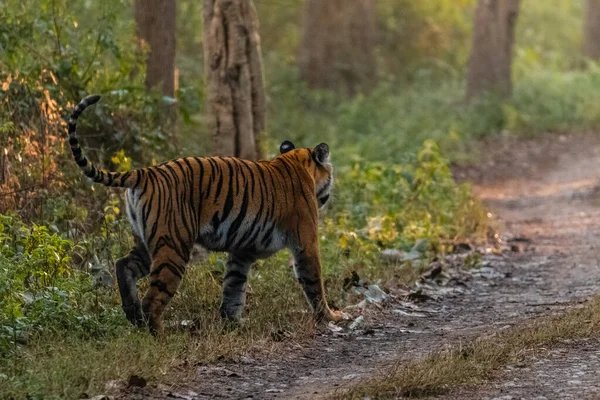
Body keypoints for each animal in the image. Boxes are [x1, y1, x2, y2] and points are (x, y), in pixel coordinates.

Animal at [66, 95, 346, 332]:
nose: (330, 193)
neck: (298, 162)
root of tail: (146, 172)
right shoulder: (305, 242)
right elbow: (314, 281)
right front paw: (330, 316)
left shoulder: (242, 251)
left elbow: (234, 286)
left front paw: (233, 323)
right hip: (174, 246)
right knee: (153, 297)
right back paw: (157, 333)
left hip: (148, 241)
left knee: (123, 264)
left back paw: (132, 314)